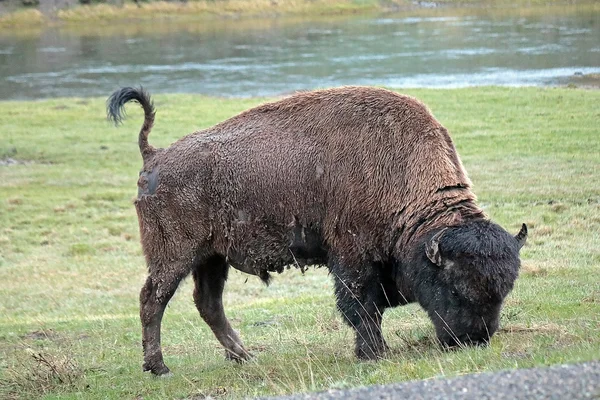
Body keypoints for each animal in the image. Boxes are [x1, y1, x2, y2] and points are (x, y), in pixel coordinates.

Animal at [106, 85, 524, 376]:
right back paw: (159, 367)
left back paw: (244, 357)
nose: (473, 340)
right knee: (153, 300)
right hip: (174, 255)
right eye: (454, 287)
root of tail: (154, 156)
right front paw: (374, 354)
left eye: (504, 290)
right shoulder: (352, 258)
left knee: (208, 304)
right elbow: (362, 307)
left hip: (212, 257)